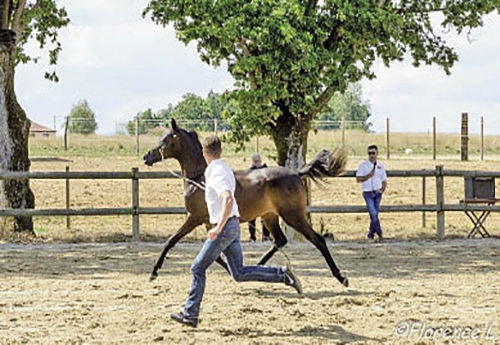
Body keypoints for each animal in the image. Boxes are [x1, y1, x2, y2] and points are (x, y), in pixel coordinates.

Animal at [143, 119, 350, 286]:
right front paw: (231, 271)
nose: (147, 156)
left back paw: (340, 277)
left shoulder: (194, 218)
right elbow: (217, 256)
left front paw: (153, 272)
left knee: (318, 240)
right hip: (269, 216)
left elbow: (171, 241)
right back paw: (259, 265)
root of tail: (297, 173)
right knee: (280, 240)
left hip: (293, 216)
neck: (200, 178)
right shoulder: (209, 222)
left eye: (166, 139)